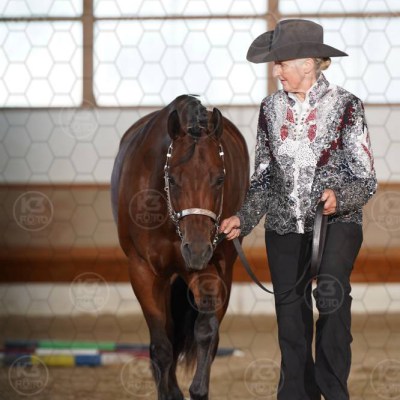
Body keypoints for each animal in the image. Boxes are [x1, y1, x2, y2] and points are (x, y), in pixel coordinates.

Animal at [111, 95, 249, 400]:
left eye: (220, 179)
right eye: (172, 179)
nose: (196, 250)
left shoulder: (210, 270)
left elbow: (206, 332)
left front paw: (198, 390)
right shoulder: (143, 272)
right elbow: (161, 345)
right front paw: (170, 392)